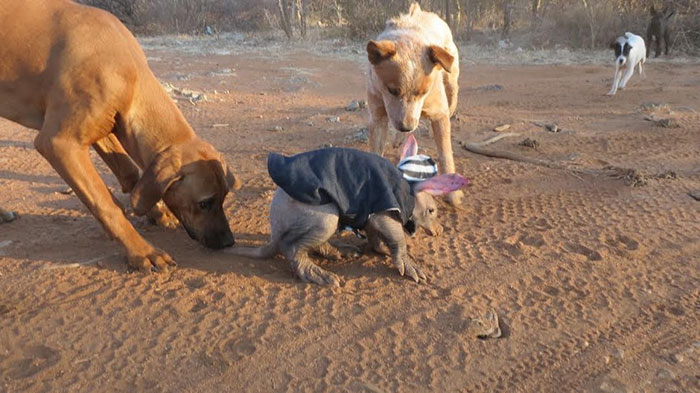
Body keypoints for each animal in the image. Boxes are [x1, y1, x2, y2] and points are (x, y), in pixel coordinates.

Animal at [0, 0, 241, 272]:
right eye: (204, 203)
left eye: (224, 197)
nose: (228, 241)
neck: (128, 72)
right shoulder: (60, 144)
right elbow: (105, 203)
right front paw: (142, 251)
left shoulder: (107, 125)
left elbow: (130, 172)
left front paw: (155, 211)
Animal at [364, 3, 462, 204]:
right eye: (392, 90)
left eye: (424, 92)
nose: (406, 126)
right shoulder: (378, 116)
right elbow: (376, 150)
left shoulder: (438, 114)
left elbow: (445, 153)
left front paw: (453, 192)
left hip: (451, 76)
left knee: (452, 95)